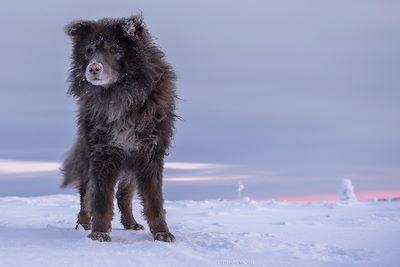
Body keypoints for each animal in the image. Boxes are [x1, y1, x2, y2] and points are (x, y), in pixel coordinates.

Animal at [60, 15, 177, 245]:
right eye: (89, 51)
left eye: (114, 50)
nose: (94, 68)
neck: (119, 97)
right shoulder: (102, 154)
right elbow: (100, 199)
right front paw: (99, 233)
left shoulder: (149, 154)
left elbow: (154, 202)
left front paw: (161, 232)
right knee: (86, 194)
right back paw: (84, 223)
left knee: (123, 194)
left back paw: (130, 222)